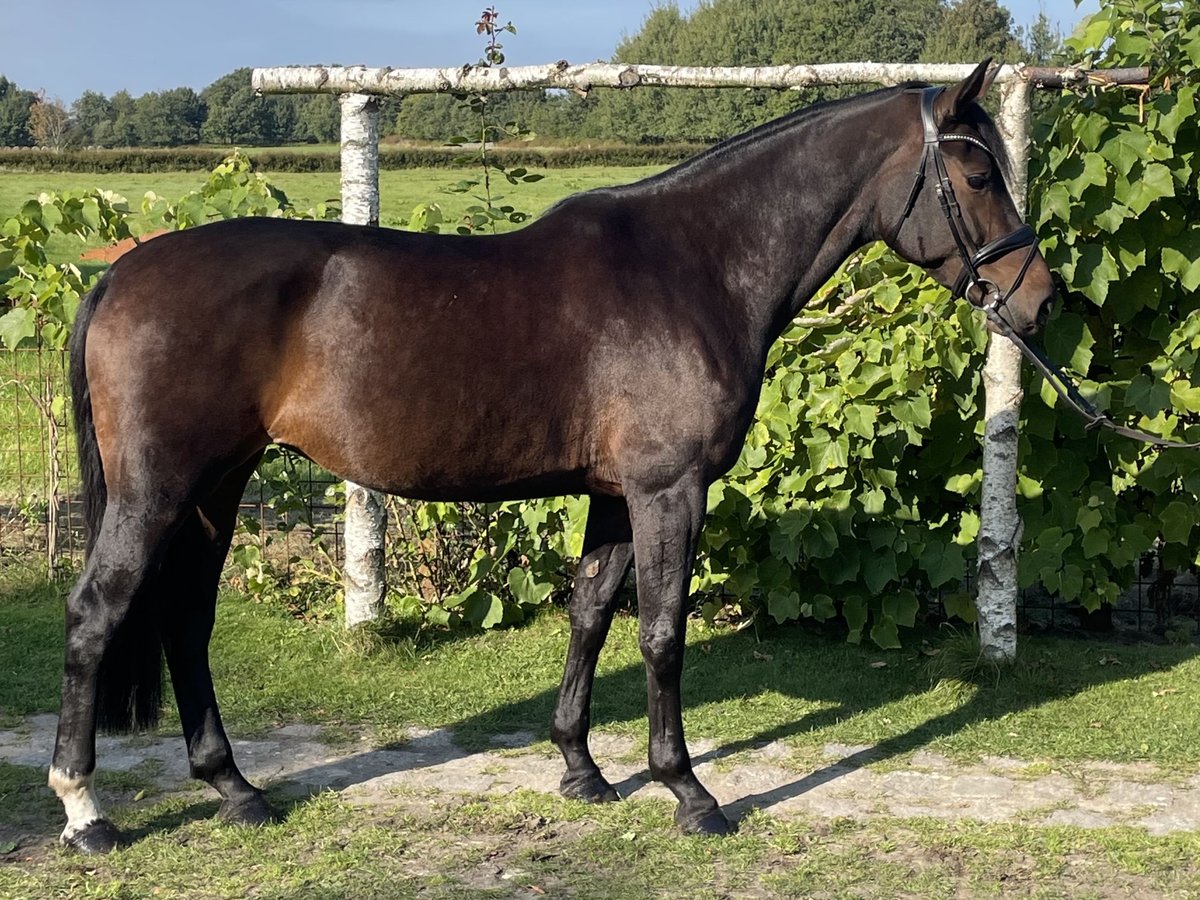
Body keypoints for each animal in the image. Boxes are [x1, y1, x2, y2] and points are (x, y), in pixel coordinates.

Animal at [50, 61, 1054, 852]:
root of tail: (121, 272)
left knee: (185, 618)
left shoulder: (616, 494)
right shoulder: (668, 491)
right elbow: (659, 633)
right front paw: (688, 792)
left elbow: (591, 613)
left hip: (216, 487)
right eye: (975, 172)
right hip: (158, 491)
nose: (1038, 300)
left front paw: (582, 770)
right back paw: (85, 811)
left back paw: (235, 789)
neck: (693, 268)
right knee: (97, 615)